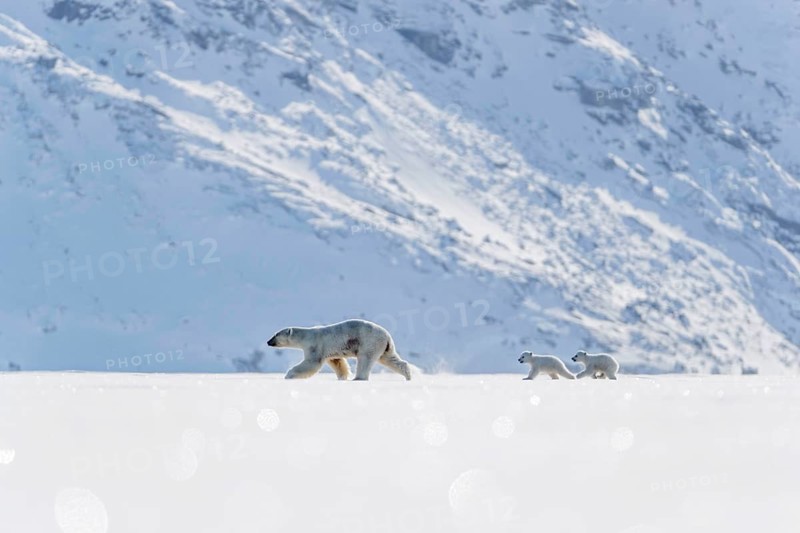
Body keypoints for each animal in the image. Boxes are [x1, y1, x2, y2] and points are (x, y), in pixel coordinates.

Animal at [266, 319, 412, 381]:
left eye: (275, 335)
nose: (268, 342)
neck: (306, 335)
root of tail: (387, 336)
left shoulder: (315, 345)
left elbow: (311, 363)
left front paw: (289, 375)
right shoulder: (330, 351)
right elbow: (337, 362)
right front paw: (343, 377)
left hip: (369, 342)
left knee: (365, 359)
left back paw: (358, 378)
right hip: (384, 347)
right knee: (391, 359)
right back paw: (408, 376)